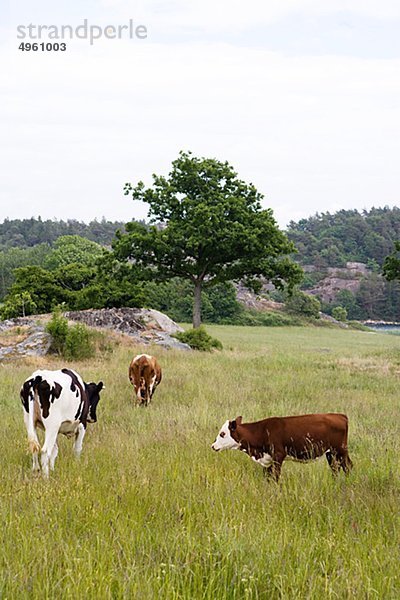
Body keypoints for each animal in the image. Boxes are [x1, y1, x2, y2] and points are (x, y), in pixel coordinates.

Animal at [211, 412, 352, 482]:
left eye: (222, 433)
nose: (213, 446)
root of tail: (340, 415)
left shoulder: (278, 456)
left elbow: (276, 476)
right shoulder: (268, 460)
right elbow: (268, 477)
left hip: (341, 450)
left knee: (347, 466)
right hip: (330, 453)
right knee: (335, 468)